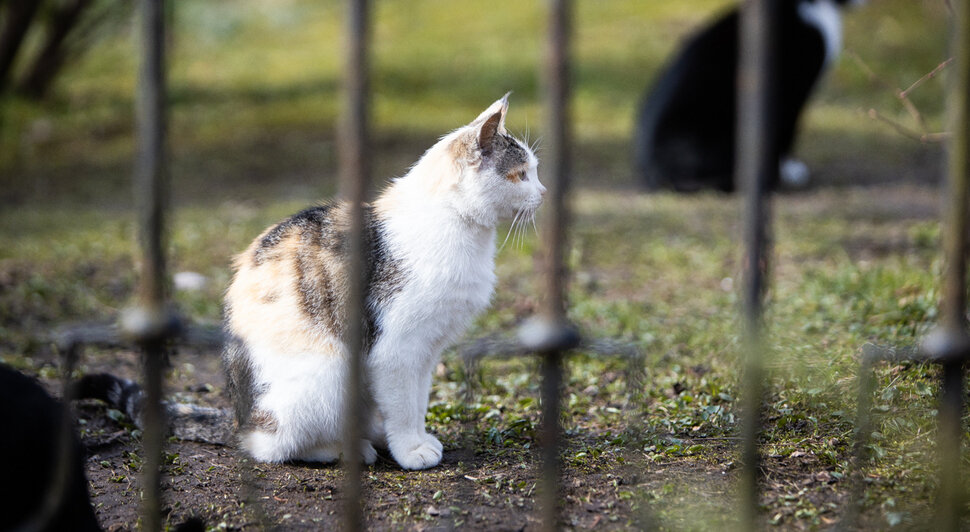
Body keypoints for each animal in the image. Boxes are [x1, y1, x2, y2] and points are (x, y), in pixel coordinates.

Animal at [221, 94, 544, 470]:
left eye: (533, 172)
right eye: (521, 175)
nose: (543, 192)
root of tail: (245, 422)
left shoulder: (427, 350)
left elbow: (417, 401)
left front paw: (417, 439)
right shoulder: (396, 350)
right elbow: (402, 406)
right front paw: (410, 450)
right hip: (328, 374)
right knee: (276, 447)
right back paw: (347, 448)